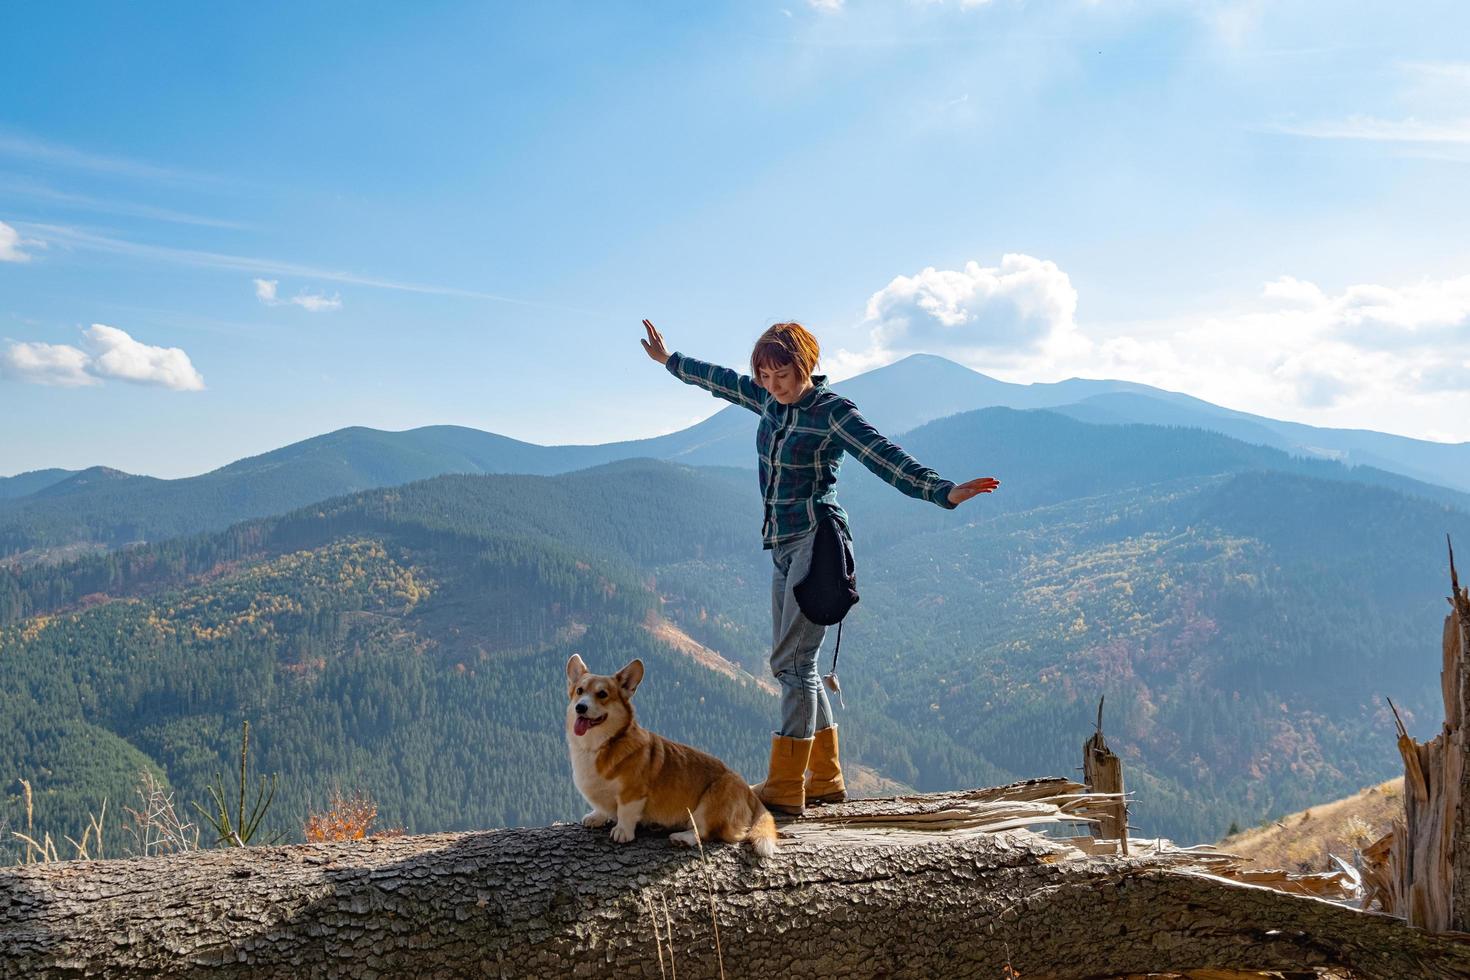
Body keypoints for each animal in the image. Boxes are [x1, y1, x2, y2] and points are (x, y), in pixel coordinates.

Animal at [561, 658, 782, 858]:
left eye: (602, 694)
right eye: (579, 691)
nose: (580, 707)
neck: (599, 745)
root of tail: (748, 791)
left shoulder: (633, 794)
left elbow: (625, 813)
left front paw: (622, 831)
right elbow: (601, 807)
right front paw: (596, 817)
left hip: (713, 801)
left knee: (706, 831)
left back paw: (682, 838)